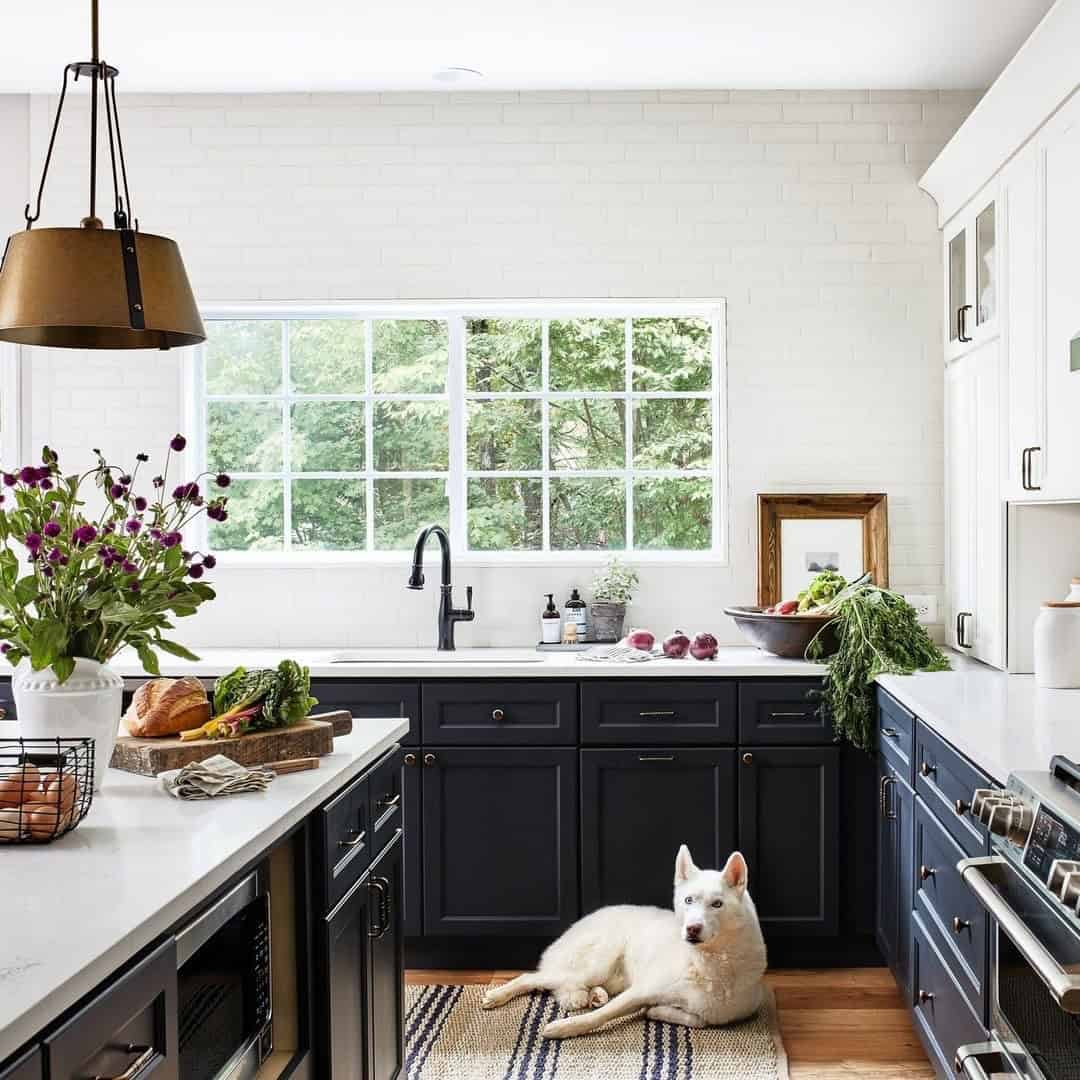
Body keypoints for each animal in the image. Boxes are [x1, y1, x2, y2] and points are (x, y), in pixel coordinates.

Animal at [481, 842, 768, 1036]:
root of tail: (583, 920)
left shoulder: (722, 1012)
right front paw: (564, 1028)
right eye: (688, 900)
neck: (710, 966)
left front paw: (655, 1011)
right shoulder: (640, 990)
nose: (692, 929)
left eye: (717, 904)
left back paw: (596, 995)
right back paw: (496, 996)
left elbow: (698, 1020)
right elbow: (600, 1016)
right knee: (532, 977)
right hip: (594, 965)